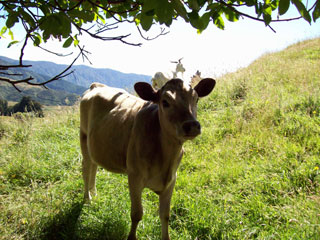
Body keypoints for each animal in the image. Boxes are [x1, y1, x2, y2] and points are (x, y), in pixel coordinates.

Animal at [79, 78, 218, 239]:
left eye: (196, 99)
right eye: (165, 102)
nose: (192, 125)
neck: (166, 158)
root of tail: (96, 86)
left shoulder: (172, 180)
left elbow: (165, 215)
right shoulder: (134, 177)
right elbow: (137, 214)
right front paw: (131, 237)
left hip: (94, 147)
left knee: (94, 168)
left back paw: (94, 195)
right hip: (83, 137)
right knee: (86, 170)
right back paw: (88, 200)